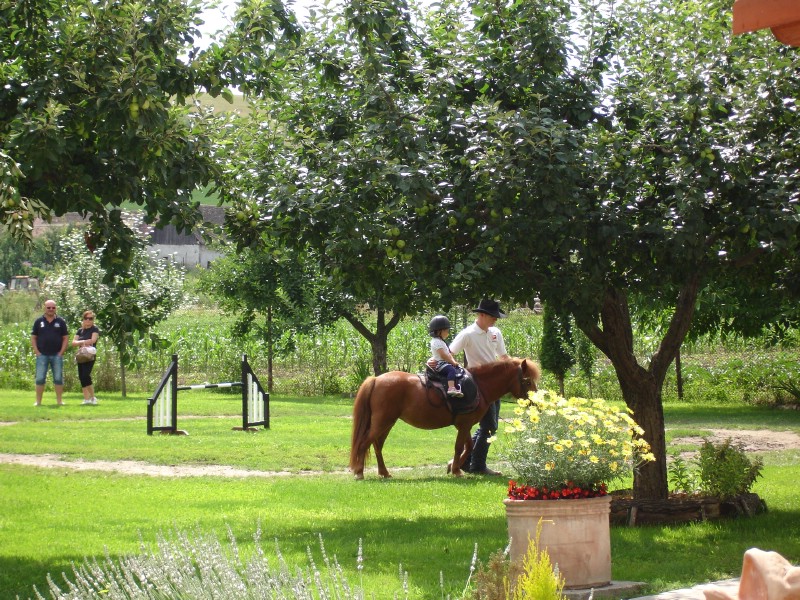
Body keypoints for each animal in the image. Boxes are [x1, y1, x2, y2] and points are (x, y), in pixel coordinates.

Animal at [346, 358, 540, 480]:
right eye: (527, 381)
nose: (536, 403)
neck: (480, 386)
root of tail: (376, 379)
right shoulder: (464, 425)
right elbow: (460, 446)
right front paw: (456, 470)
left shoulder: (465, 425)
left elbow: (468, 446)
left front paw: (453, 466)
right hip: (383, 422)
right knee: (365, 442)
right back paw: (359, 472)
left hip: (387, 423)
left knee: (377, 445)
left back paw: (384, 472)